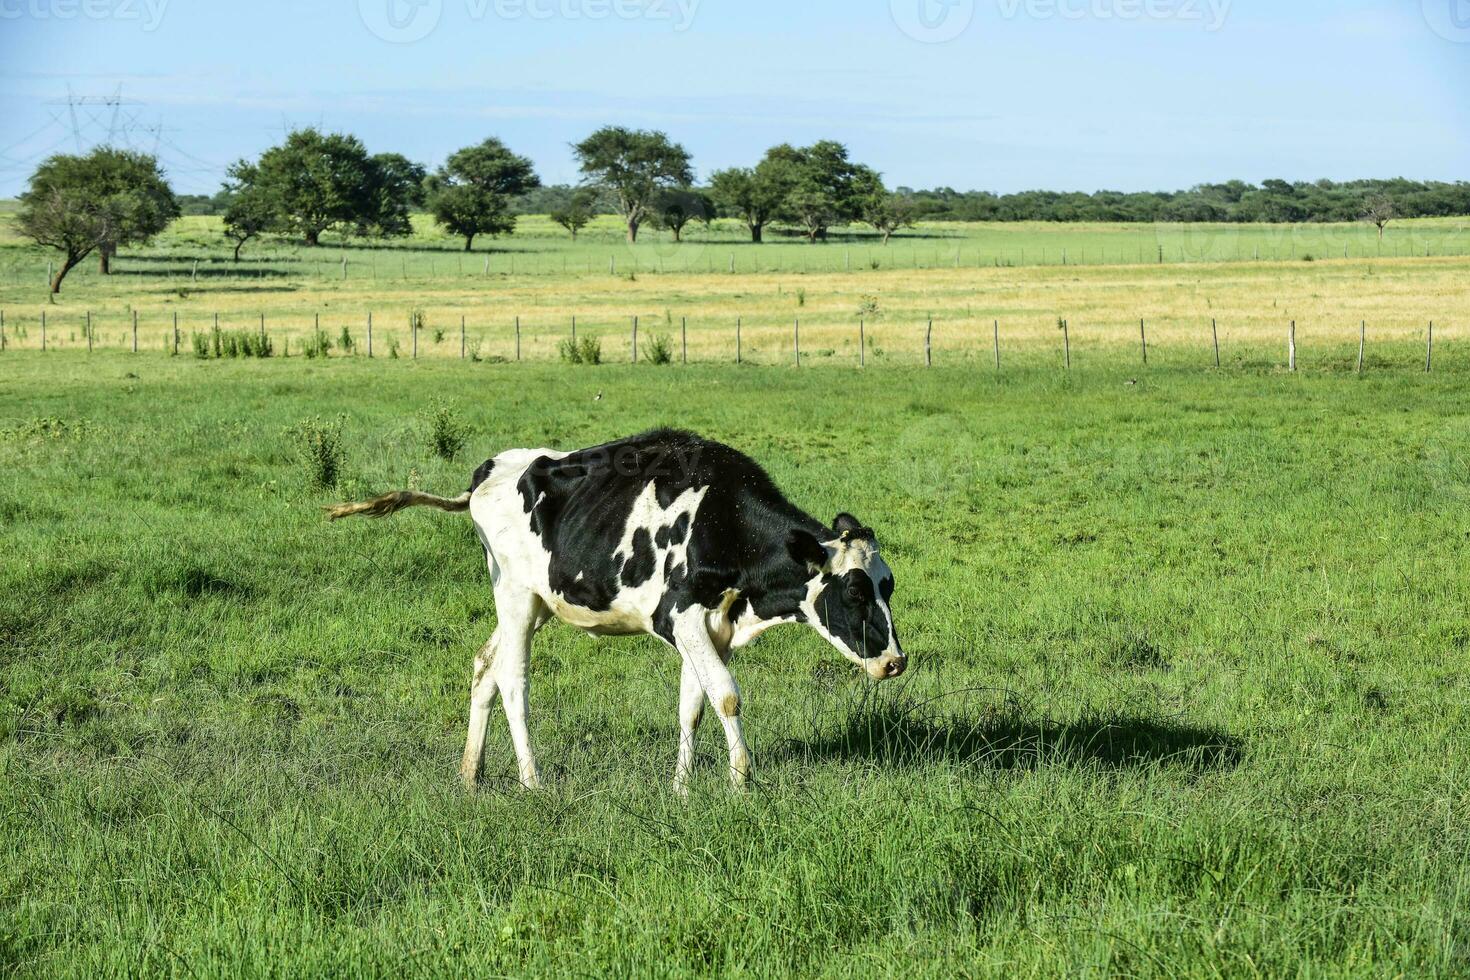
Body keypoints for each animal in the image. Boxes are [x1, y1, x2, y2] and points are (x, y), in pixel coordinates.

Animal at [330, 431, 905, 793]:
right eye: (855, 593)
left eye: (889, 585)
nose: (896, 662)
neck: (723, 521)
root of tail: (487, 472)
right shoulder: (681, 615)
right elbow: (727, 697)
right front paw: (742, 782)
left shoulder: (710, 627)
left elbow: (692, 706)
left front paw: (682, 789)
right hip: (513, 595)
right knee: (513, 680)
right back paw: (531, 781)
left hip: (535, 602)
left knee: (484, 667)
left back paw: (472, 774)